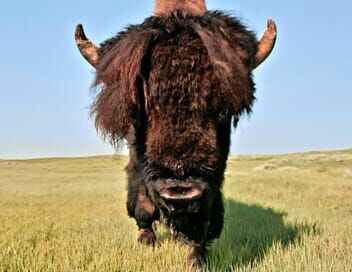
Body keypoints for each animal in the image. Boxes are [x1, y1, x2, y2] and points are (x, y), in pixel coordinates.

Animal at [75, 0, 278, 264]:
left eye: (223, 110)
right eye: (139, 112)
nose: (180, 194)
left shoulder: (210, 187)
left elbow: (203, 221)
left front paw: (196, 259)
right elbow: (143, 206)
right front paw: (147, 242)